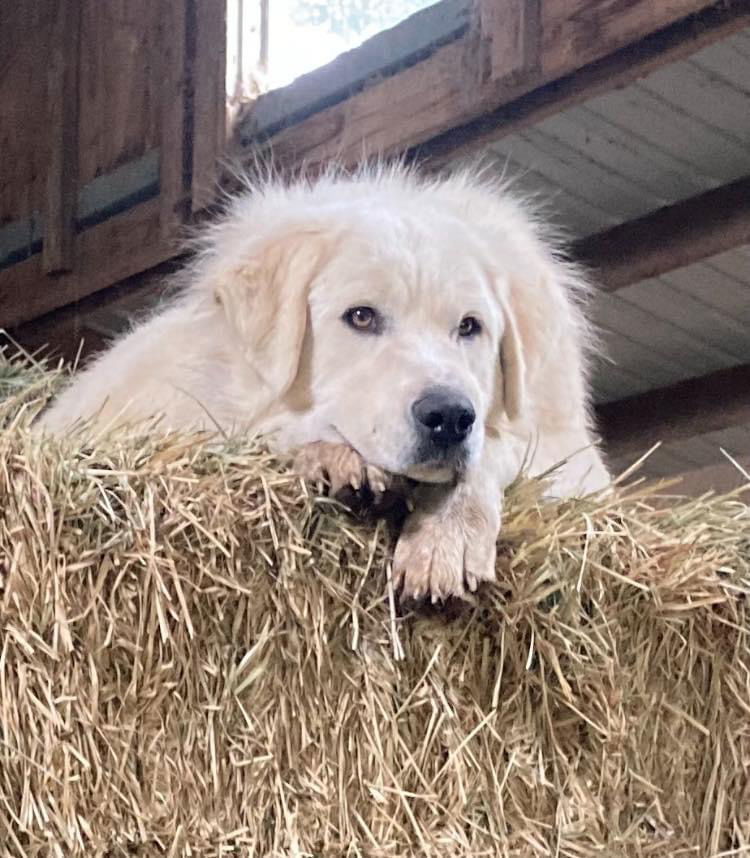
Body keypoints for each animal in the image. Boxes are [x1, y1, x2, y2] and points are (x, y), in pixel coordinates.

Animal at [38, 164, 612, 600]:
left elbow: (493, 453)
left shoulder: (568, 453)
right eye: (360, 317)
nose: (450, 417)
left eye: (470, 327)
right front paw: (333, 458)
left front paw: (447, 534)